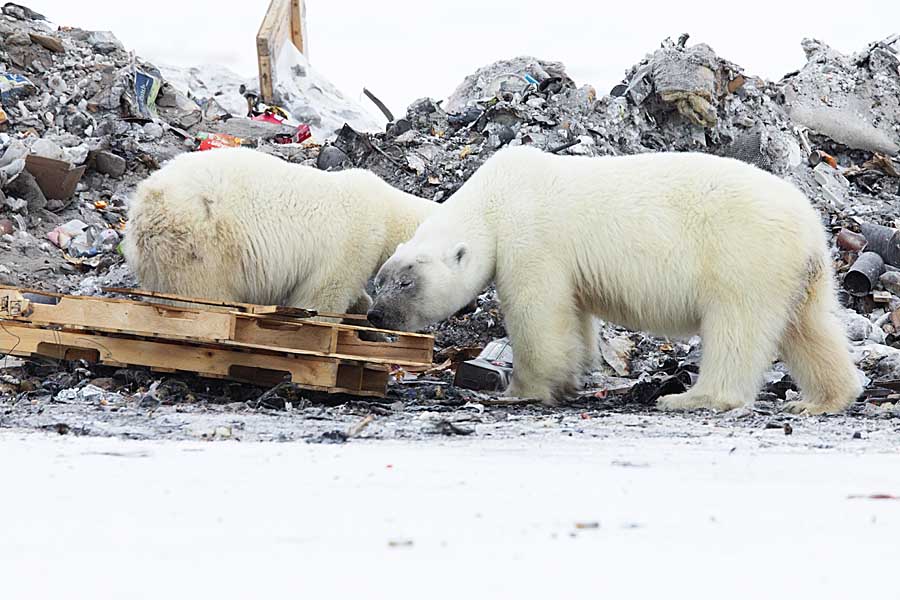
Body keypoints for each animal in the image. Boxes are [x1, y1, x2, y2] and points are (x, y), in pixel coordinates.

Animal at [122, 148, 436, 318]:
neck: (387, 211)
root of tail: (146, 205)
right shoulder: (353, 243)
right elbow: (321, 297)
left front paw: (363, 309)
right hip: (201, 245)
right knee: (202, 295)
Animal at [370, 148, 860, 414]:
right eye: (381, 279)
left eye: (407, 283)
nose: (377, 316)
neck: (494, 197)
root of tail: (811, 228)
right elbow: (575, 316)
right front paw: (573, 377)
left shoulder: (532, 240)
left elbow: (537, 314)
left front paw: (519, 392)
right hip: (797, 273)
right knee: (810, 328)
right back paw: (821, 399)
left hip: (744, 254)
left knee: (735, 326)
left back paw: (691, 397)